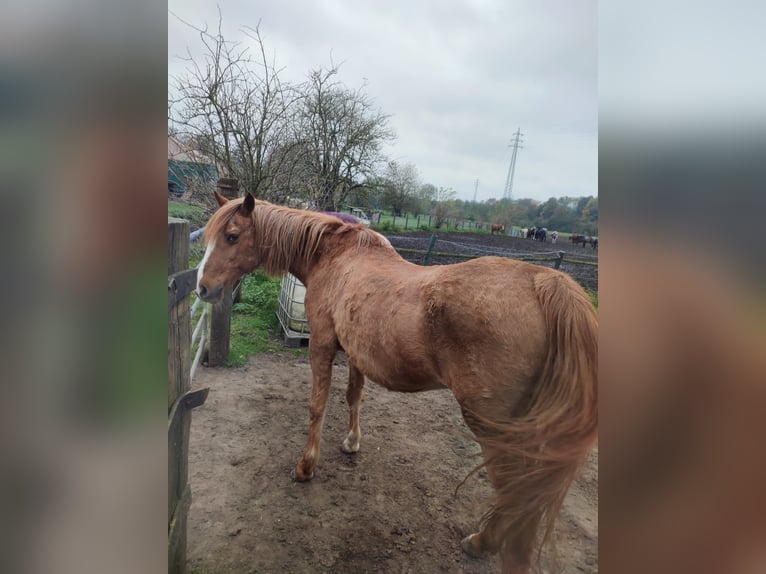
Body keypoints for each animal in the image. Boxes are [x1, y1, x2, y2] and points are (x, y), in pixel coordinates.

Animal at [194, 194, 600, 574]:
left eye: (232, 236)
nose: (202, 288)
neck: (333, 256)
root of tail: (545, 283)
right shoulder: (354, 351)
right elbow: (353, 396)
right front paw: (352, 442)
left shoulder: (322, 345)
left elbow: (317, 405)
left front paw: (306, 467)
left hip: (495, 430)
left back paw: (483, 542)